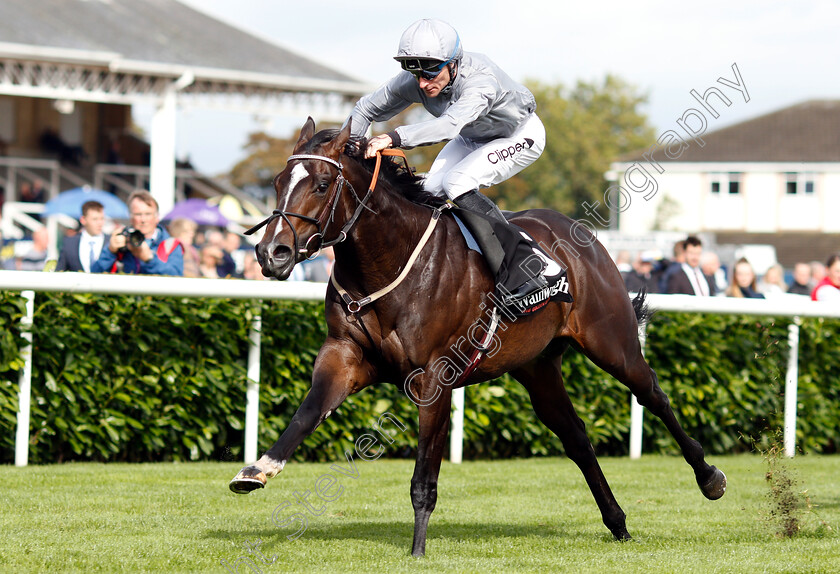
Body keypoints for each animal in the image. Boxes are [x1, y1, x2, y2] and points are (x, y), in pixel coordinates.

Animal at [226, 118, 724, 560]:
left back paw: (709, 478)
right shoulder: (344, 355)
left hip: (612, 342)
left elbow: (424, 476)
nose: (271, 253)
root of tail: (582, 235)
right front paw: (257, 470)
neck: (387, 262)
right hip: (537, 367)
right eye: (277, 182)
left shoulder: (434, 377)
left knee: (653, 395)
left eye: (323, 183)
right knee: (577, 438)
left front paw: (417, 550)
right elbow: (307, 412)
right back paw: (617, 522)